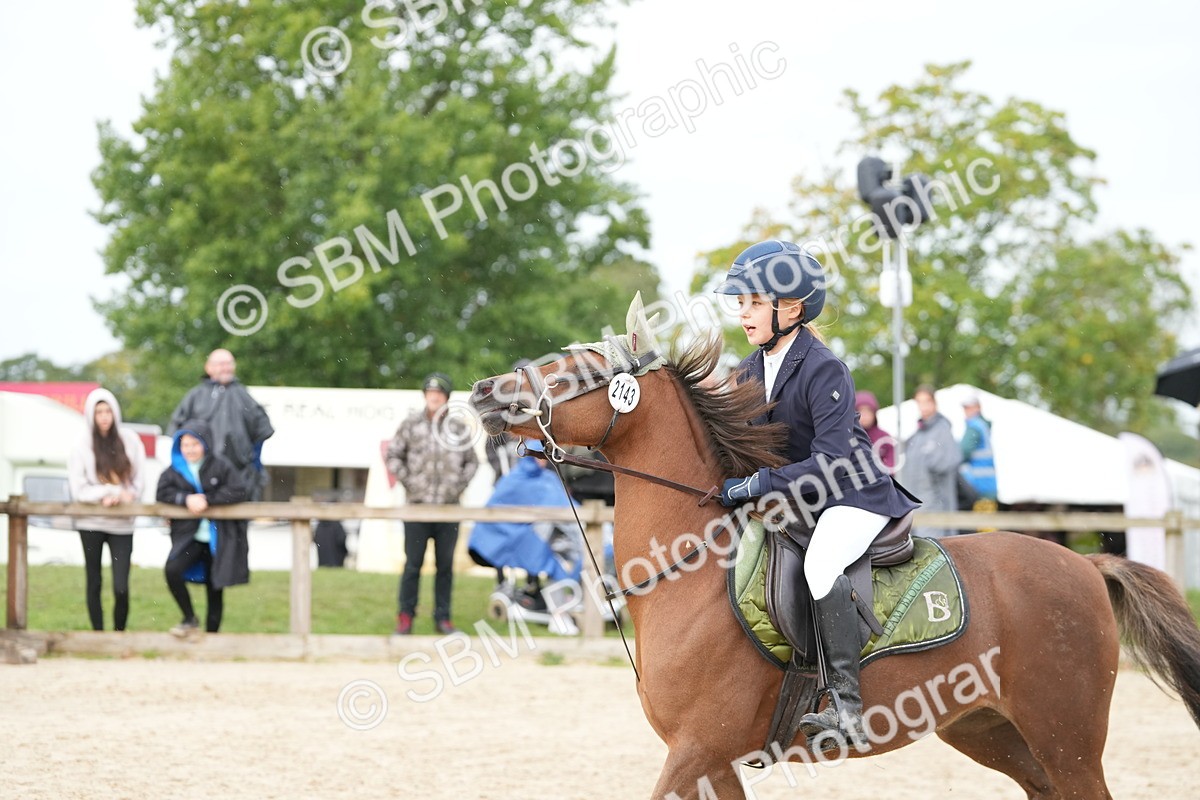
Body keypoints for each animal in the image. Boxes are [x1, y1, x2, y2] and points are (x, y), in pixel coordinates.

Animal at [468, 296, 1200, 799]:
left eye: (579, 371)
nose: (480, 392)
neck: (688, 571)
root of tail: (1086, 564)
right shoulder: (712, 760)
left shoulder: (696, 748)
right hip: (991, 730)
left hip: (1065, 735)